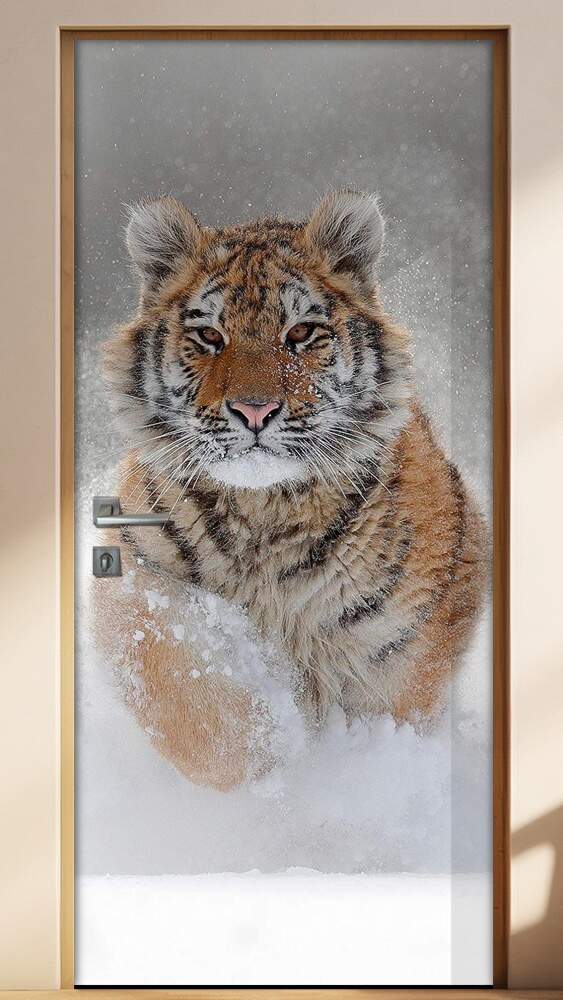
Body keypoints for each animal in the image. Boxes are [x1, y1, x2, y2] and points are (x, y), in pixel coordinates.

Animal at [94, 190, 487, 791]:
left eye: (300, 334)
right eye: (210, 336)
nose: (254, 410)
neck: (264, 512)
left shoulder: (404, 642)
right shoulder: (132, 562)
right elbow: (180, 682)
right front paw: (266, 756)